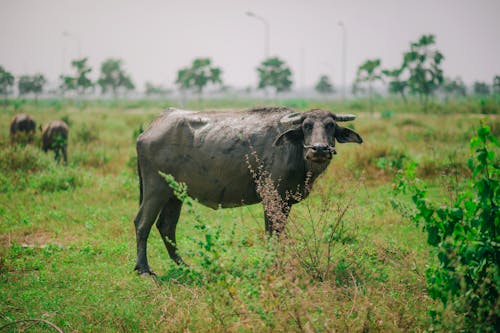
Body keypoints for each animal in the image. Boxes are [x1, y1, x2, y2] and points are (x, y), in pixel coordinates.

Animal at [133, 107, 364, 274]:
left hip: (175, 194)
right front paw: (273, 264)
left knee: (166, 226)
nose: (319, 149)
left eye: (330, 126)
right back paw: (144, 269)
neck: (294, 151)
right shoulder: (271, 197)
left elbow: (279, 232)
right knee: (142, 223)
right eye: (306, 126)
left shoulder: (285, 202)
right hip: (155, 189)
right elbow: (272, 233)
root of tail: (148, 130)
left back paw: (184, 266)